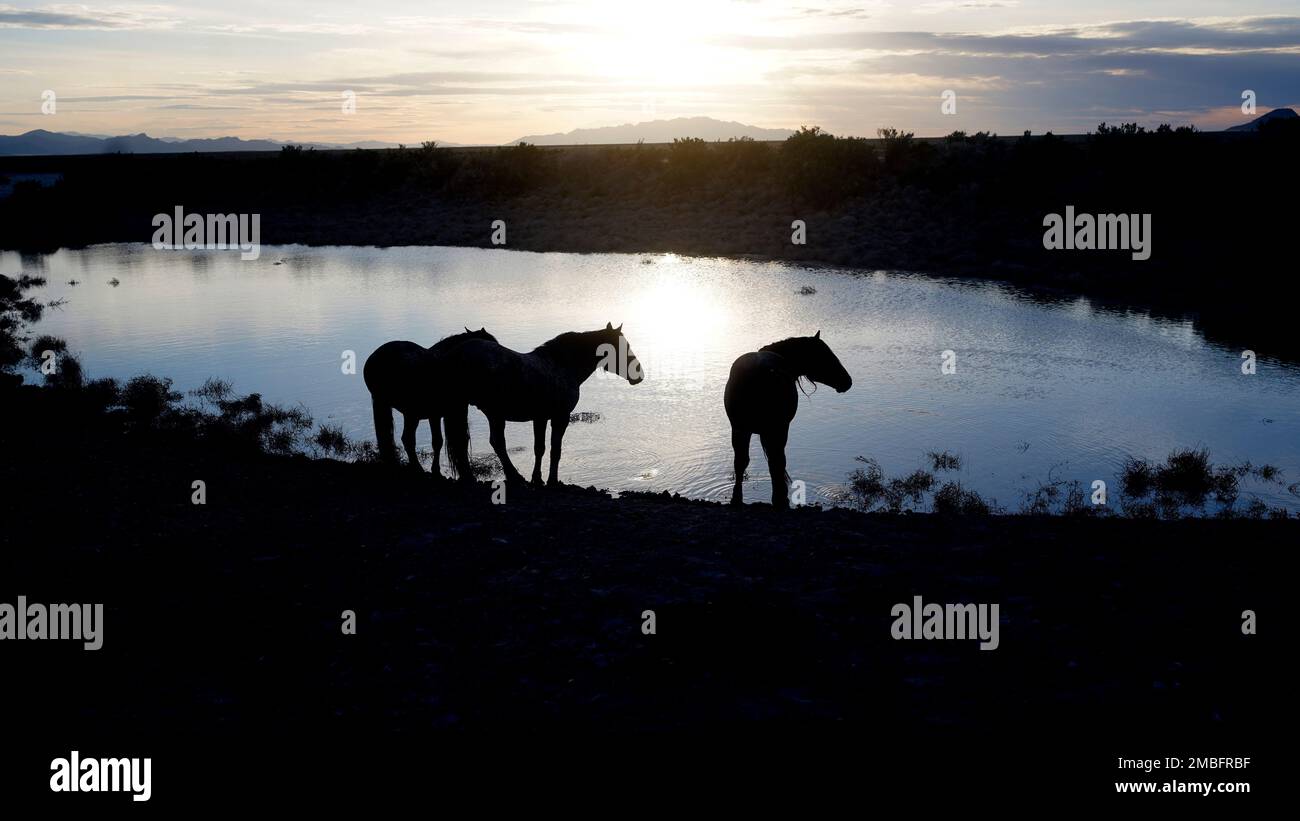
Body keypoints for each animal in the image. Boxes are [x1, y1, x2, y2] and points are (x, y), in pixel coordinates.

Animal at [362, 327, 496, 479]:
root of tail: (373, 356)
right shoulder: (442, 414)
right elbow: (447, 441)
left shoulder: (447, 414)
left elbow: (450, 441)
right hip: (398, 410)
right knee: (404, 438)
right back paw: (416, 467)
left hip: (404, 412)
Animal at [442, 322, 643, 487]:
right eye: (623, 346)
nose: (639, 375)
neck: (561, 365)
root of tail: (456, 353)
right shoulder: (559, 418)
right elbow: (554, 450)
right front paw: (550, 480)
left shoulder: (541, 418)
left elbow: (540, 449)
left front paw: (537, 479)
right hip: (491, 412)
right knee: (494, 443)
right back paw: (514, 477)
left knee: (472, 443)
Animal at [724, 331, 852, 509]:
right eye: (825, 355)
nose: (847, 381)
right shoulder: (781, 428)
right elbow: (779, 461)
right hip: (771, 429)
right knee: (774, 461)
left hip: (740, 428)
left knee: (741, 462)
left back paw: (737, 498)